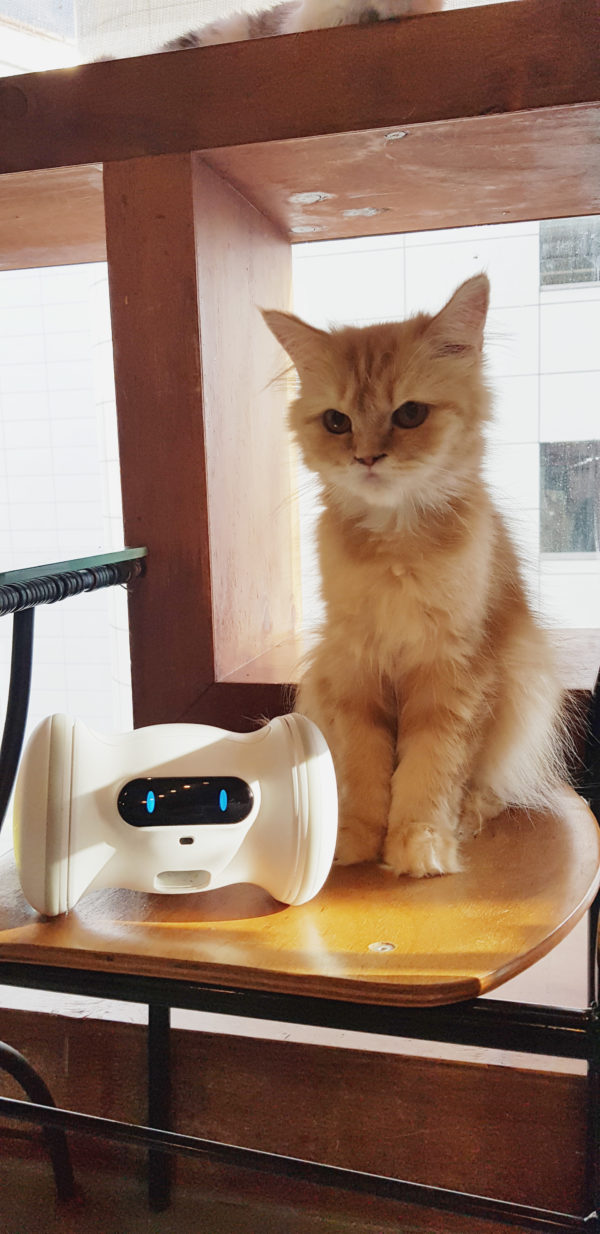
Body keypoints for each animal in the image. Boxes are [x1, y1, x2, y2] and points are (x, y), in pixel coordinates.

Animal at [263, 274, 566, 878]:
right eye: (336, 422)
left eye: (408, 416)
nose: (366, 458)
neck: (395, 543)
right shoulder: (354, 666)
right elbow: (366, 768)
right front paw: (355, 838)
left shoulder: (454, 671)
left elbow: (431, 770)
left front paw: (419, 843)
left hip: (525, 685)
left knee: (490, 785)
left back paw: (469, 815)